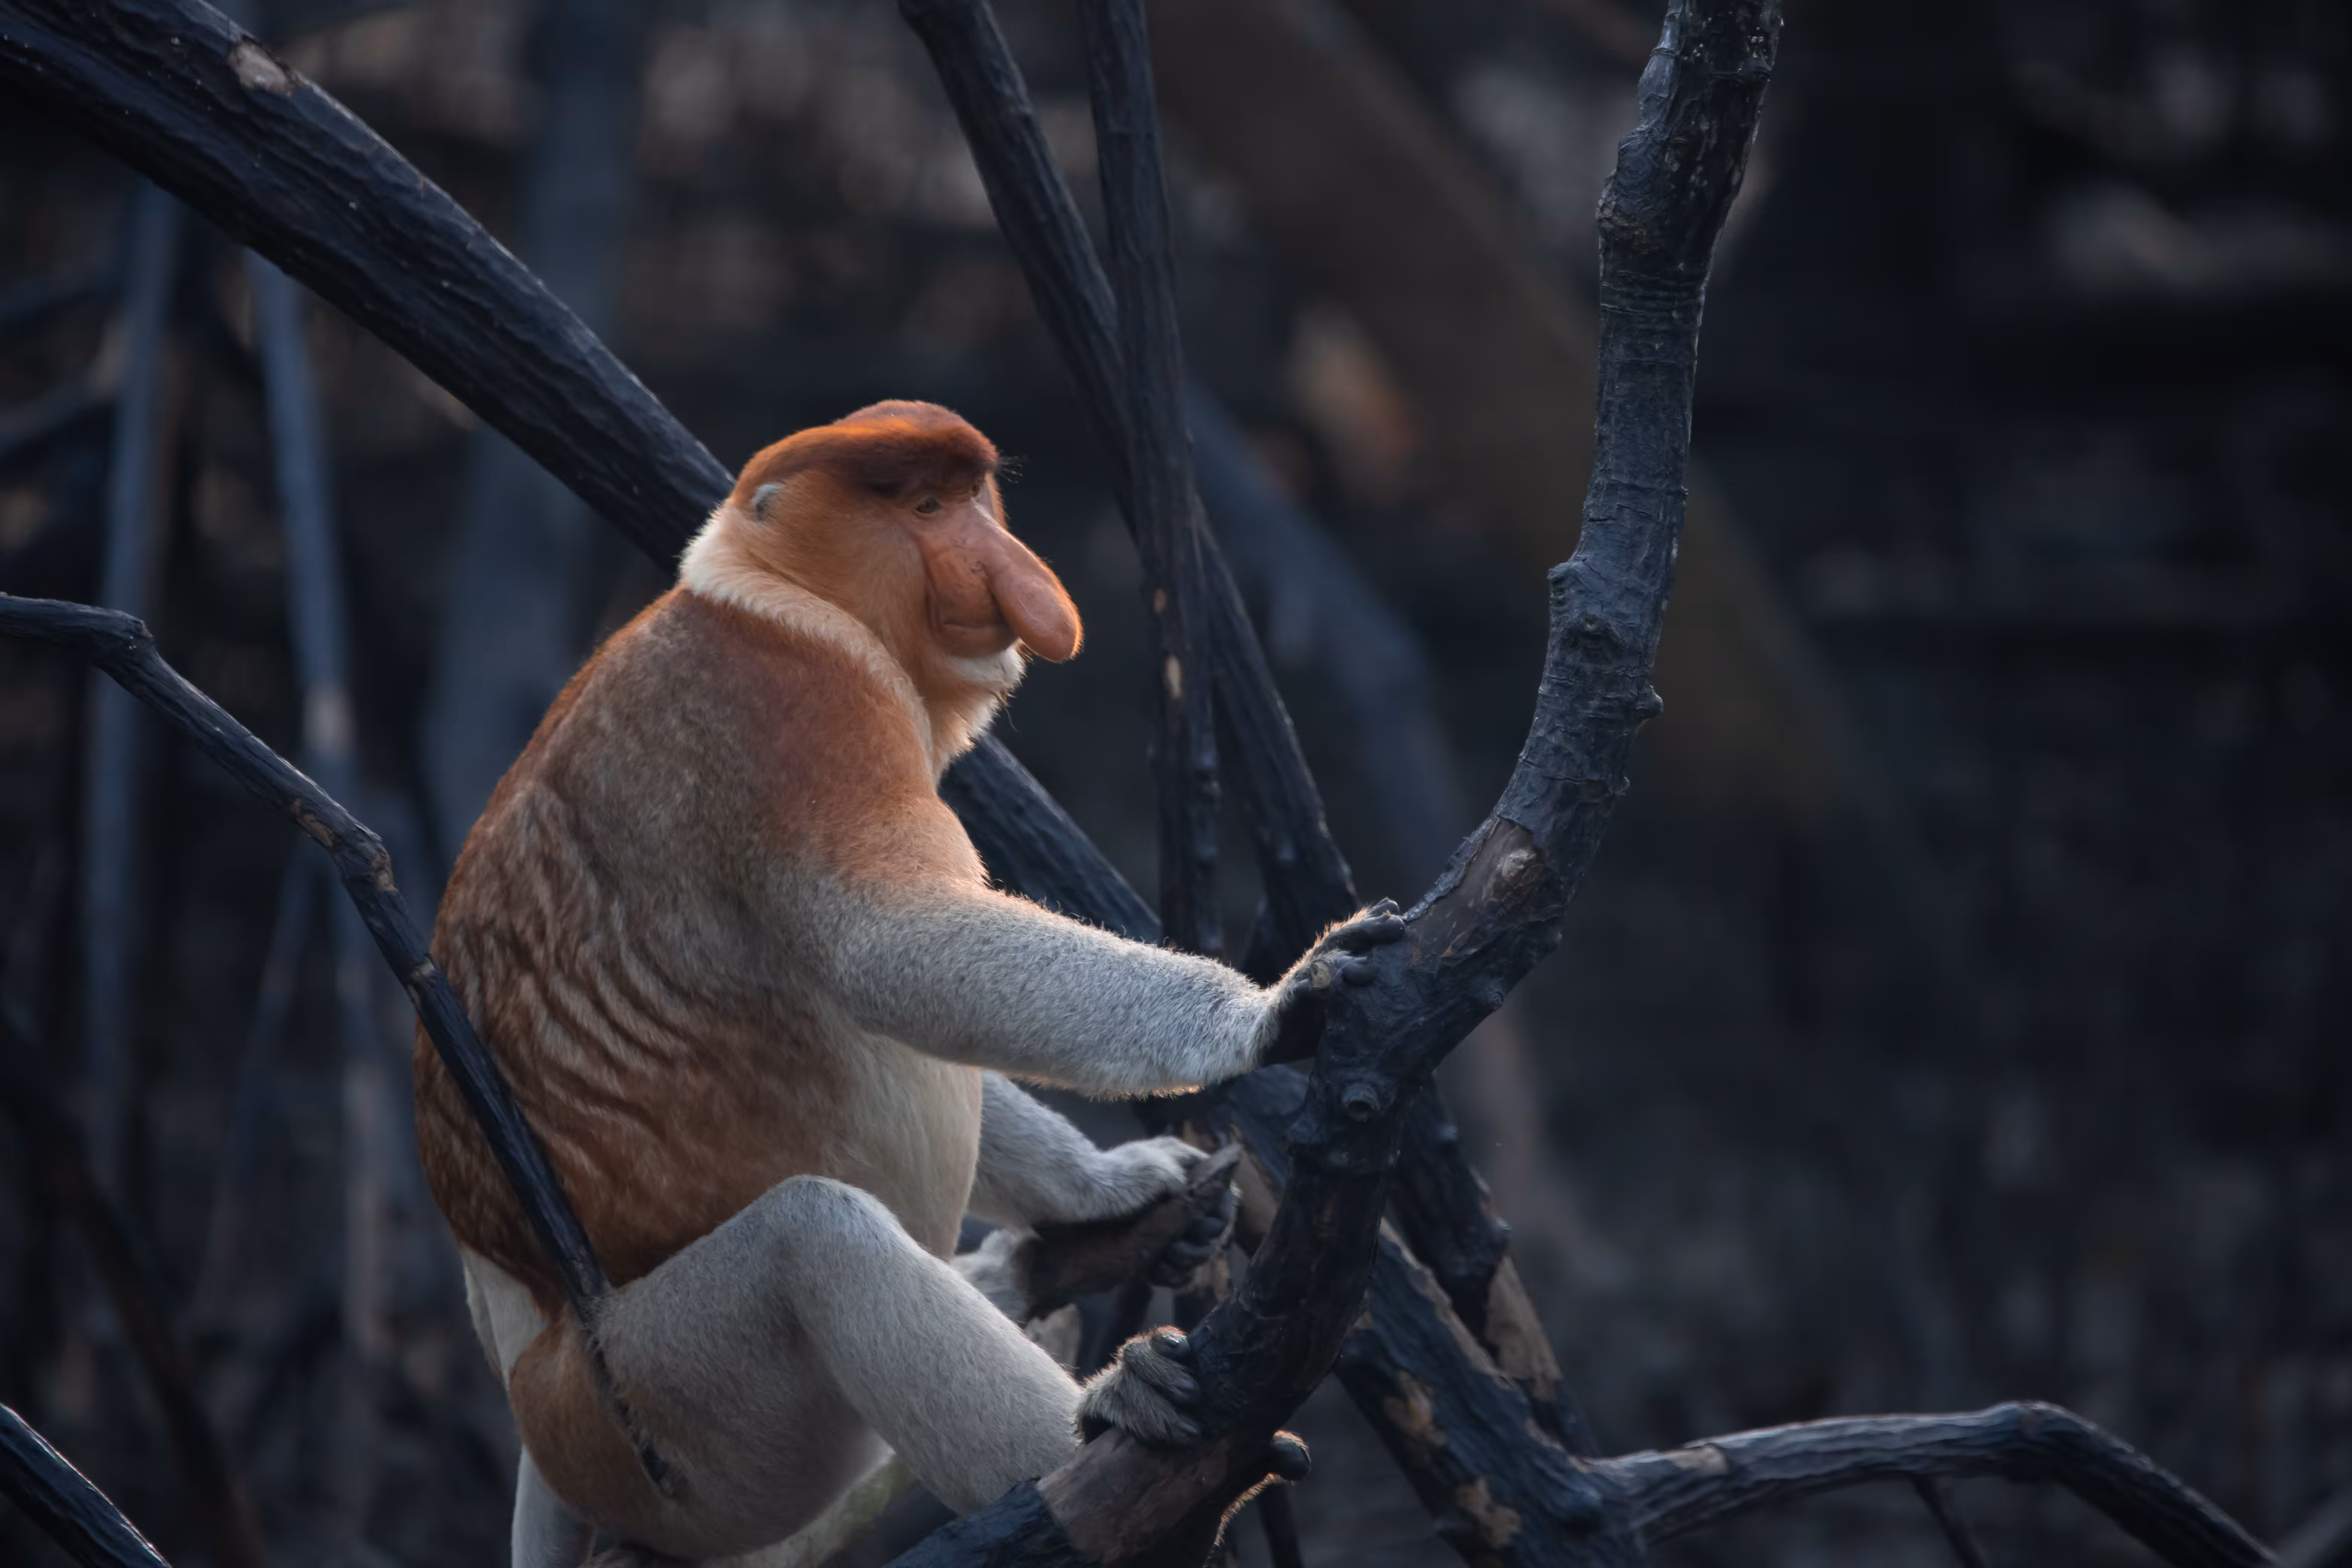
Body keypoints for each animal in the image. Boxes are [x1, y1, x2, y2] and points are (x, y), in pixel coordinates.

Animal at [413, 400, 1403, 1565]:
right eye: (924, 507)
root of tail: (528, 1380)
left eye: (975, 497)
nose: (1019, 577)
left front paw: (1122, 1183)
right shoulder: (799, 712)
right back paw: (1114, 1429)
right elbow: (889, 946)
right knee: (818, 1245)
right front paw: (1281, 1006)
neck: (773, 589)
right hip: (654, 1426)